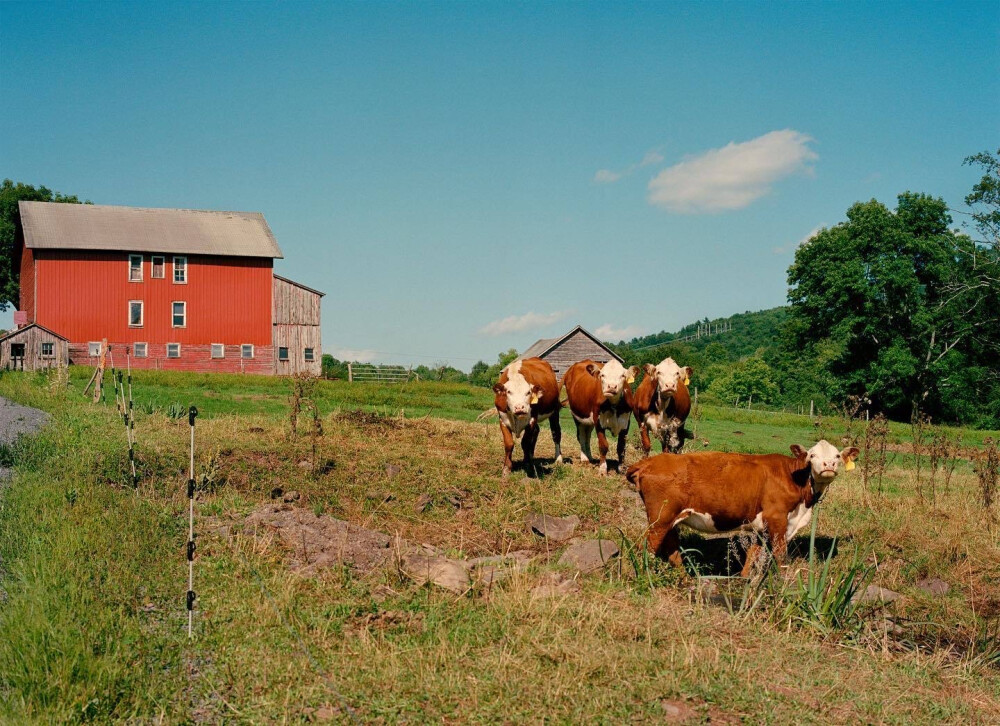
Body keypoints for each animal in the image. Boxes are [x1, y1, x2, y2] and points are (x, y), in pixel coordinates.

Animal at [628, 440, 856, 576]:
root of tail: (649, 462)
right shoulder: (777, 518)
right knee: (646, 547)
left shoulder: (761, 525)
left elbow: (752, 556)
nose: (828, 465)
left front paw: (745, 581)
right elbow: (780, 556)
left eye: (837, 456)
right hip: (660, 518)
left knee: (672, 549)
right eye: (812, 456)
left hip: (671, 518)